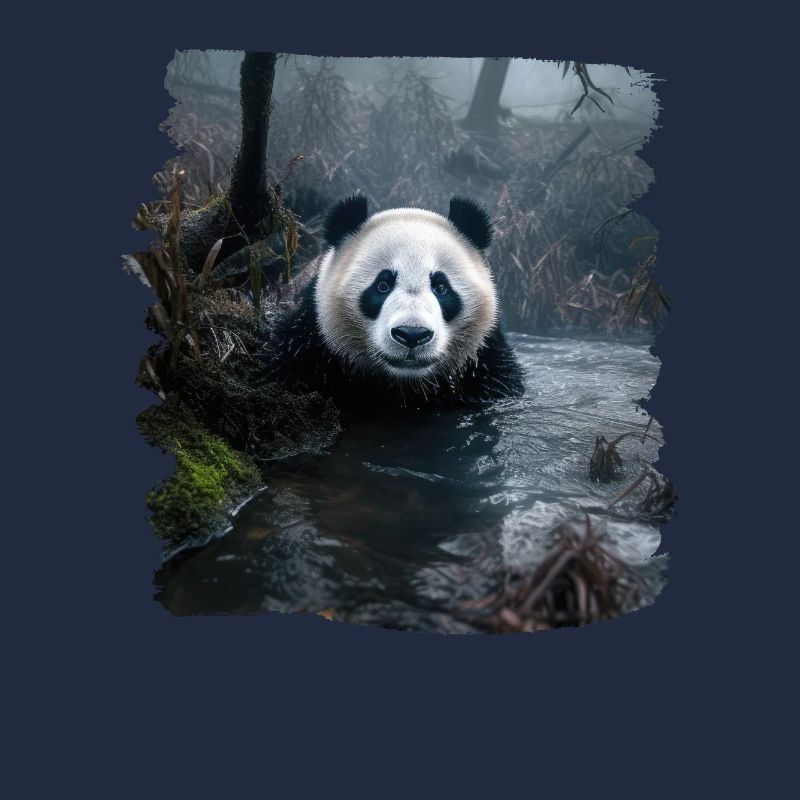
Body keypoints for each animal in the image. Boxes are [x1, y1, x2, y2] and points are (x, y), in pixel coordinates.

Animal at [270, 194, 524, 412]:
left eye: (441, 287)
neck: (403, 387)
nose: (412, 334)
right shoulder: (308, 345)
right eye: (383, 285)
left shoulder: (486, 366)